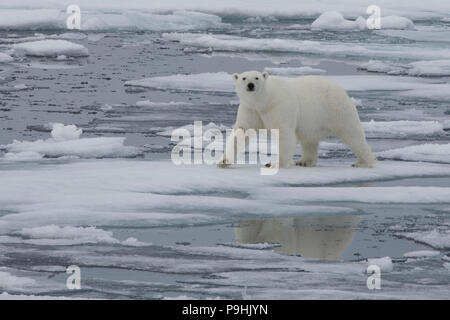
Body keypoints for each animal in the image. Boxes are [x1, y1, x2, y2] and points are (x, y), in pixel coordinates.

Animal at [218, 71, 376, 169]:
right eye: (244, 78)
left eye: (257, 78)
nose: (250, 85)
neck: (264, 101)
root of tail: (340, 89)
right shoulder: (251, 109)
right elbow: (242, 131)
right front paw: (223, 161)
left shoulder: (280, 106)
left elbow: (284, 133)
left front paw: (275, 164)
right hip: (313, 121)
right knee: (309, 140)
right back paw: (304, 161)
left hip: (337, 109)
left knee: (352, 134)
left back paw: (363, 162)